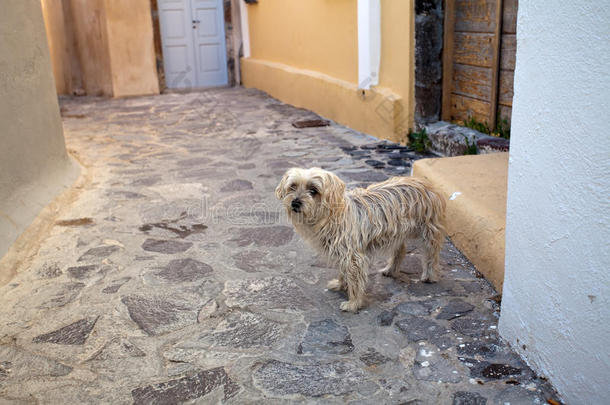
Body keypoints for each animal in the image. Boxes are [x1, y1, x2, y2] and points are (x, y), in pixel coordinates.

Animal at [274, 167, 442, 312]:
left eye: (313, 191)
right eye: (293, 187)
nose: (295, 202)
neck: (332, 216)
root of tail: (421, 181)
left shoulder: (353, 257)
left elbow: (355, 280)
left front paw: (353, 303)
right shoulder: (342, 253)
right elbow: (343, 271)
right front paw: (341, 284)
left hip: (428, 230)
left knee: (431, 254)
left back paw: (429, 275)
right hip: (397, 233)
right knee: (400, 250)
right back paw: (391, 269)